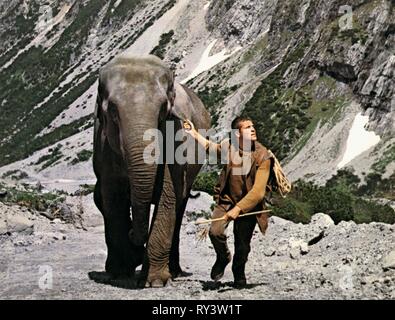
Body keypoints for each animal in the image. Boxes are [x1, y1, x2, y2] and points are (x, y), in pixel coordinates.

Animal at [93, 53, 212, 288]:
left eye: (163, 109)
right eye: (112, 110)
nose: (133, 235)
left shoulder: (175, 141)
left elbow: (168, 197)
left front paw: (154, 281)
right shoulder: (104, 149)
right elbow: (113, 201)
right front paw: (122, 272)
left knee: (179, 208)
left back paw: (173, 271)